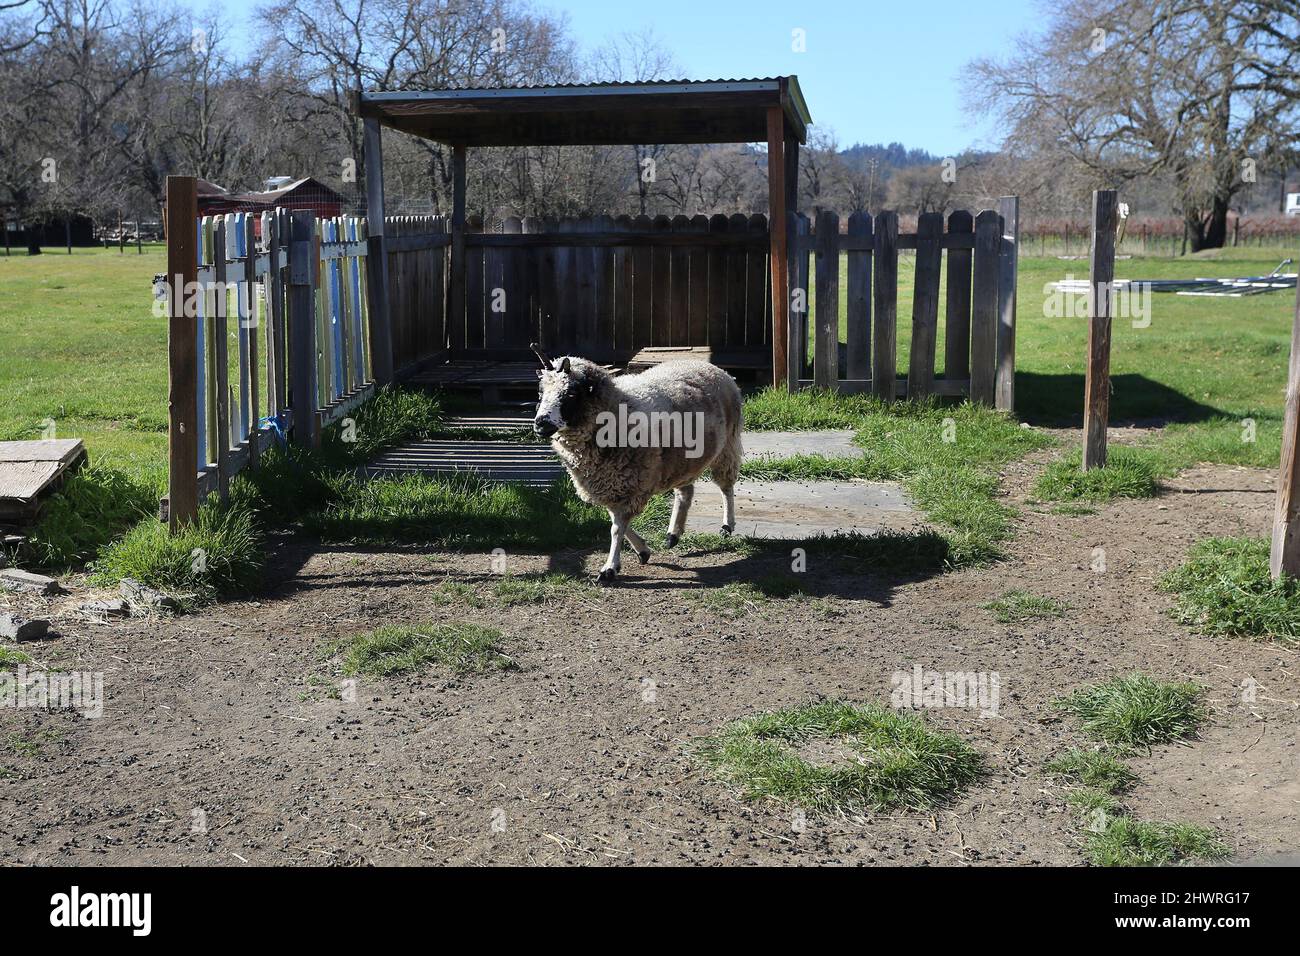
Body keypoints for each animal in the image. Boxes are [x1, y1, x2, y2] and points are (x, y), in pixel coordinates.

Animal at [531, 344, 743, 583]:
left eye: (571, 394)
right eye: (540, 393)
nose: (540, 424)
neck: (619, 409)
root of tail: (713, 368)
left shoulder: (631, 483)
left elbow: (616, 528)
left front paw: (610, 568)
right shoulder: (611, 484)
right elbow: (616, 522)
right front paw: (642, 550)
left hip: (727, 446)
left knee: (726, 487)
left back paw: (727, 525)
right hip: (681, 462)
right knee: (685, 493)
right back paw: (673, 534)